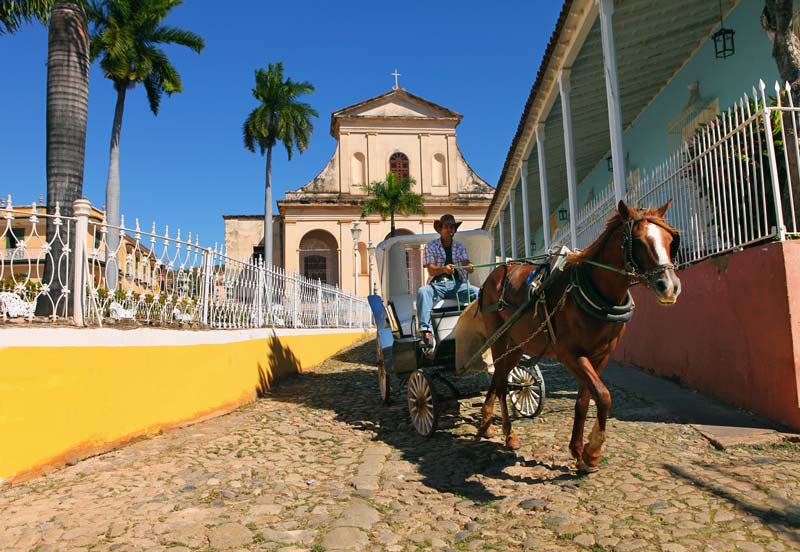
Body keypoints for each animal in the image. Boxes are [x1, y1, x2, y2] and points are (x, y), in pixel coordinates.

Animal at [476, 201, 680, 472]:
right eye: (637, 241)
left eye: (670, 240)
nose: (670, 287)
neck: (597, 293)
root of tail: (495, 273)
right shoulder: (570, 354)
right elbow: (603, 396)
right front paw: (593, 450)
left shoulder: (601, 354)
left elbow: (585, 399)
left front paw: (578, 450)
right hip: (498, 339)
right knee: (500, 383)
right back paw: (507, 433)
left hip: (518, 344)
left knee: (500, 378)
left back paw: (489, 423)